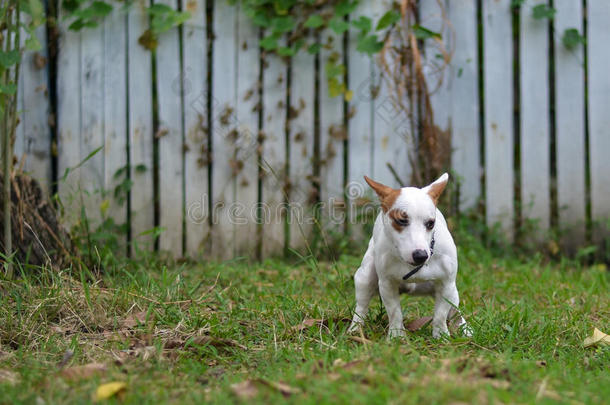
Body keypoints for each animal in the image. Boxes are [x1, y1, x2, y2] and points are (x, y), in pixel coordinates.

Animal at [346, 171, 470, 338]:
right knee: (361, 307)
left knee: (454, 310)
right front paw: (396, 336)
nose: (421, 255)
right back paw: (355, 329)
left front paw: (441, 336)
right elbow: (394, 313)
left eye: (431, 223)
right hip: (365, 277)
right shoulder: (387, 284)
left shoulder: (446, 285)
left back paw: (463, 327)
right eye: (401, 220)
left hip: (453, 292)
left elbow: (440, 315)